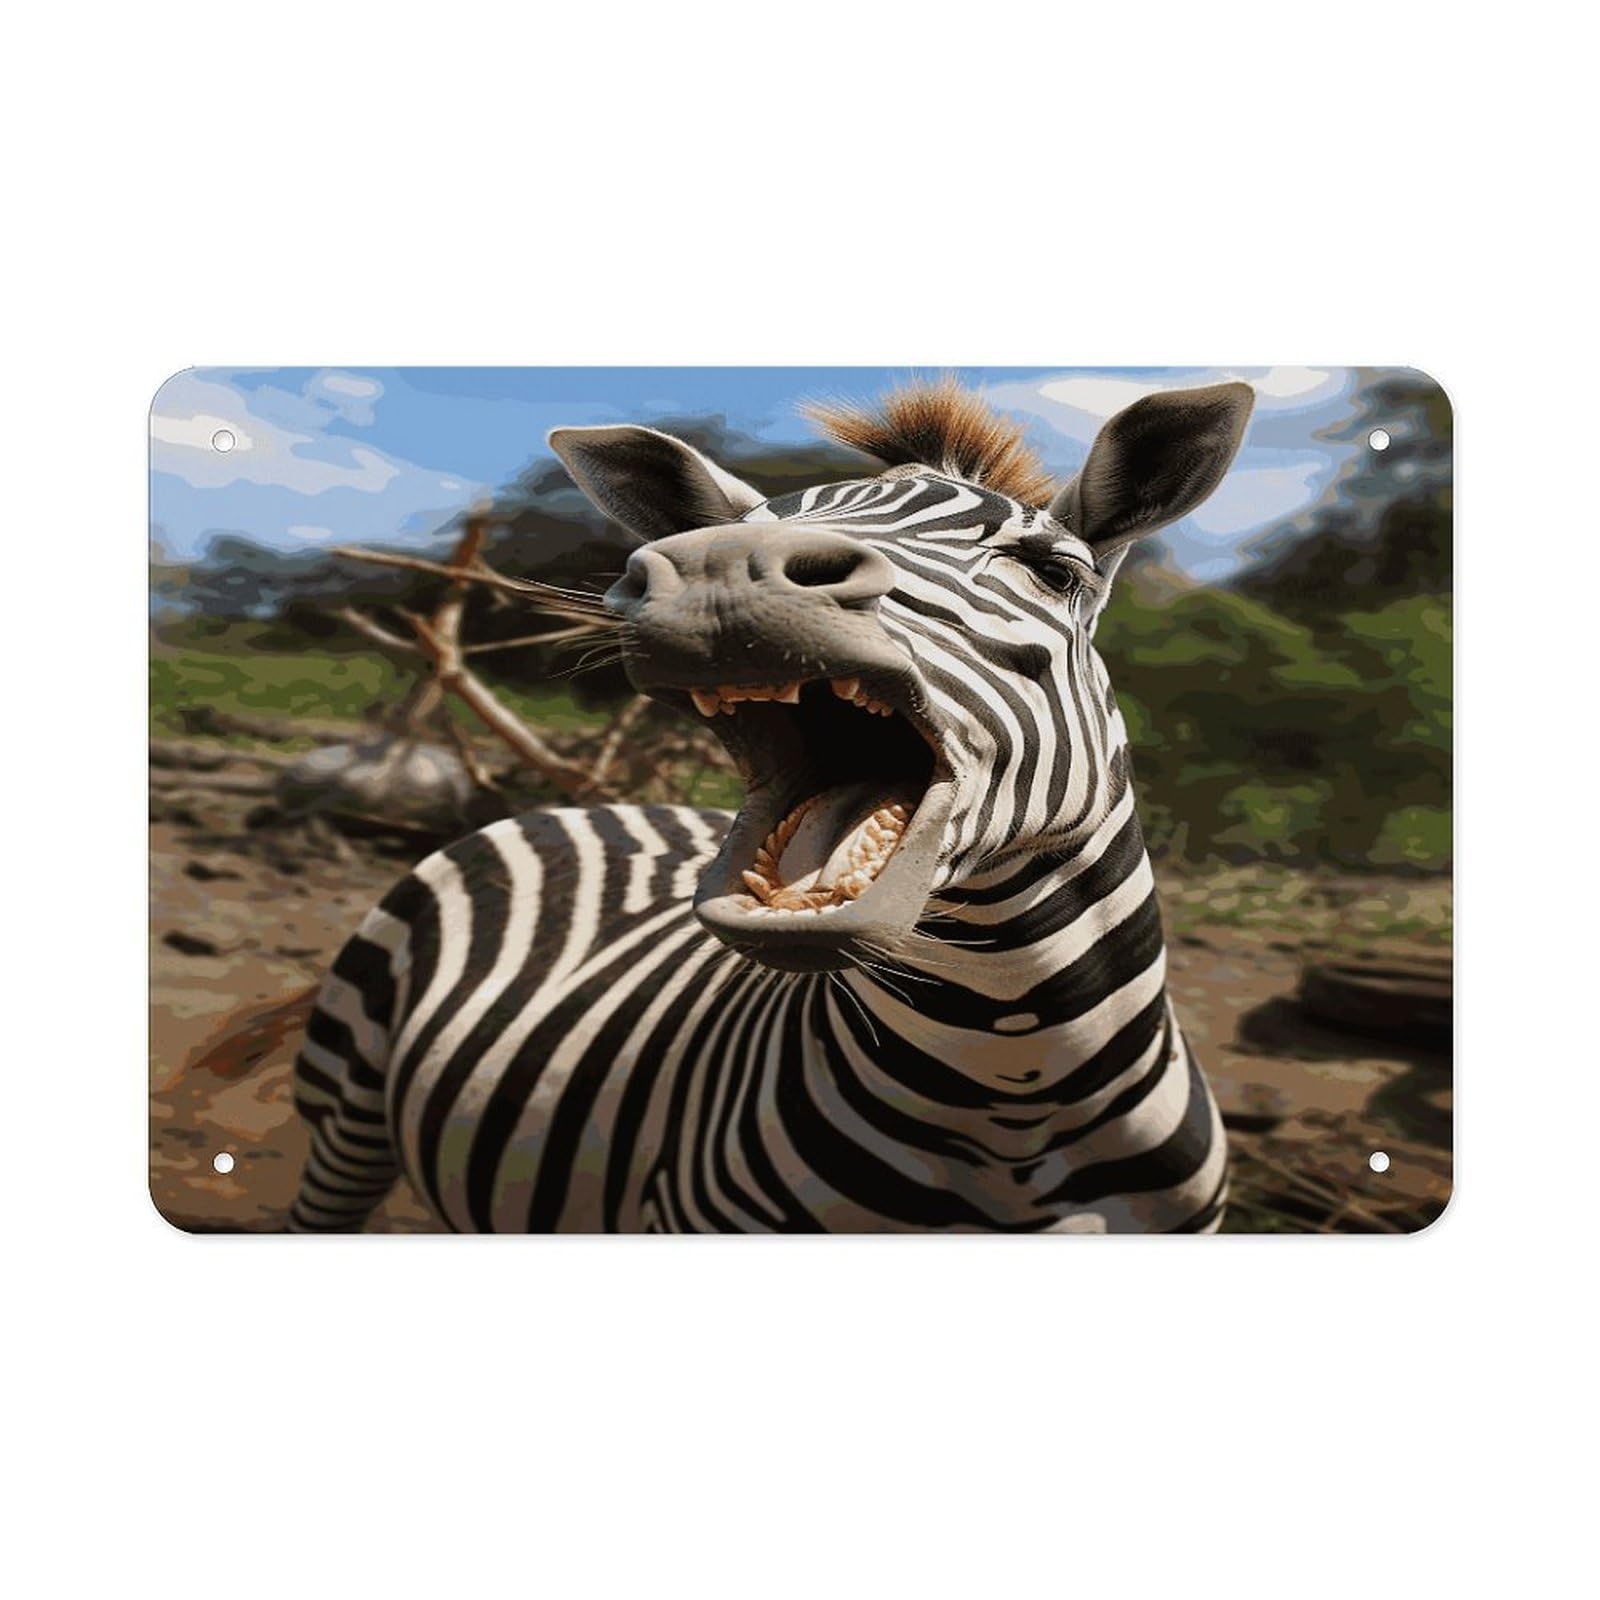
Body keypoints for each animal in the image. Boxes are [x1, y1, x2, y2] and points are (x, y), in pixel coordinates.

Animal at [288, 377, 1255, 1233]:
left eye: (1053, 570)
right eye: (729, 537)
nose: (719, 570)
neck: (1014, 1090)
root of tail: (570, 811)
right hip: (345, 1101)